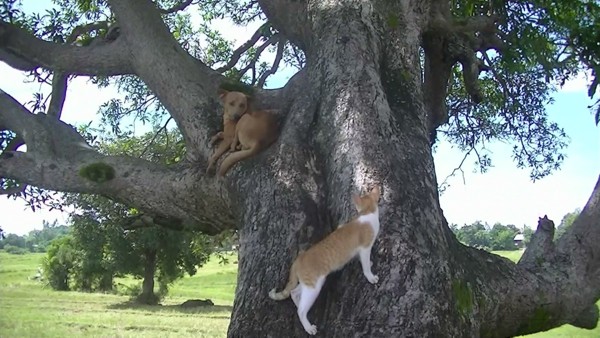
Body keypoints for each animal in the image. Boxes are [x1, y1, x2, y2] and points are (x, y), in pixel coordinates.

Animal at [270, 187, 382, 336]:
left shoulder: (359, 250)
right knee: (301, 310)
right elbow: (365, 265)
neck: (367, 213)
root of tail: (299, 259)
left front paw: (369, 264)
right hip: (313, 286)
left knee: (294, 293)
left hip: (309, 283)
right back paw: (309, 327)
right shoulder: (365, 248)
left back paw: (298, 303)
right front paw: (370, 276)